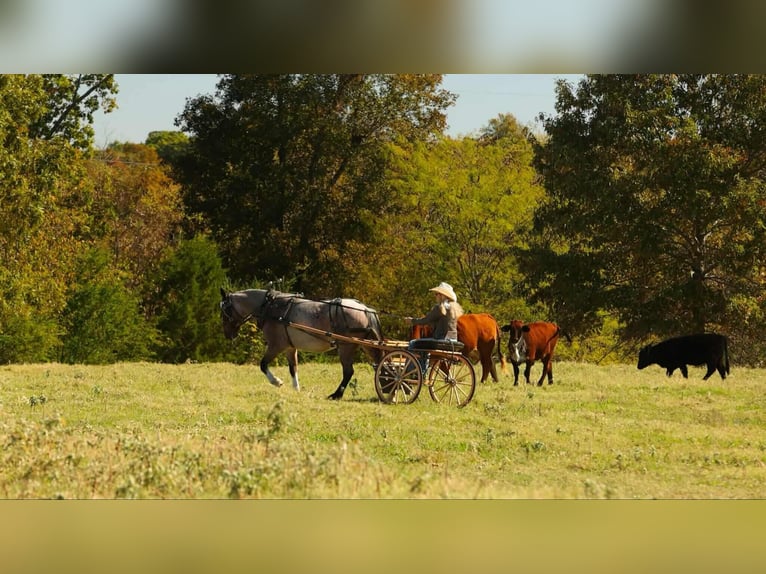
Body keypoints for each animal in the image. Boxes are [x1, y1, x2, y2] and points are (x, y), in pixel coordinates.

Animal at [219, 288, 384, 400]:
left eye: (224, 312)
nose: (228, 335)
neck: (270, 306)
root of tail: (365, 309)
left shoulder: (276, 346)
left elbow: (263, 364)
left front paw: (277, 382)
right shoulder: (290, 347)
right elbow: (293, 368)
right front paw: (296, 388)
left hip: (346, 347)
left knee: (348, 371)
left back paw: (336, 395)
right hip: (366, 344)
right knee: (379, 365)